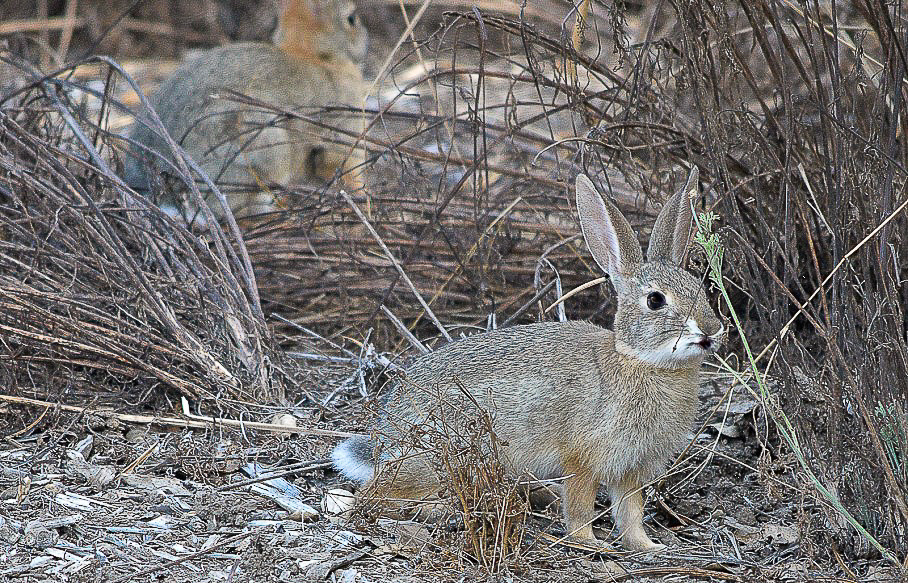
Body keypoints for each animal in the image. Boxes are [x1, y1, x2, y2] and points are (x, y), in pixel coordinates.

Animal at [334, 169, 724, 552]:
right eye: (656, 300)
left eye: (701, 289)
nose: (712, 329)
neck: (641, 361)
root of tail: (385, 440)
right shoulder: (582, 459)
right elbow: (580, 506)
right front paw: (590, 544)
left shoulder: (629, 471)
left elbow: (630, 514)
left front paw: (648, 547)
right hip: (438, 459)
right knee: (372, 498)